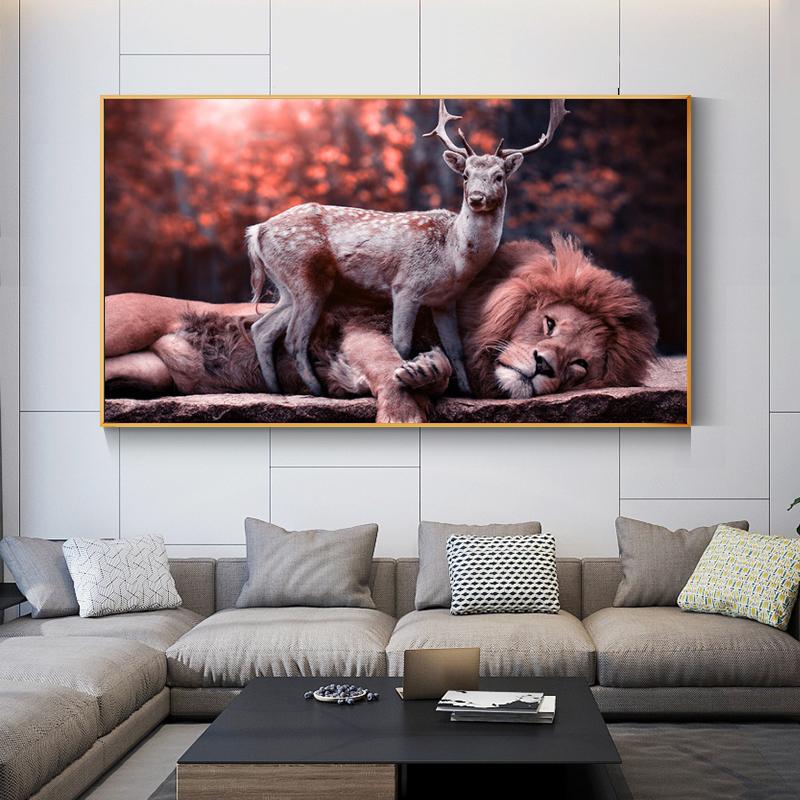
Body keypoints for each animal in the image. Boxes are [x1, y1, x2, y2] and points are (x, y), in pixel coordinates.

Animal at [104, 236, 658, 423]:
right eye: (548, 323)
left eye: (580, 365)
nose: (544, 365)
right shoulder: (360, 324)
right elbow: (388, 365)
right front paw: (403, 410)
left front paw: (429, 369)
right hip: (124, 322)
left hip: (152, 371)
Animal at [246, 98, 569, 397]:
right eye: (466, 175)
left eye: (499, 176)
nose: (476, 198)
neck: (454, 258)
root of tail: (257, 230)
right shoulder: (405, 286)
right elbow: (401, 343)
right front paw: (407, 380)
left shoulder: (445, 300)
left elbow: (456, 347)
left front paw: (466, 391)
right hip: (306, 277)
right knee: (293, 338)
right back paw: (317, 390)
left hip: (287, 286)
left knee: (262, 329)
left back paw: (275, 388)